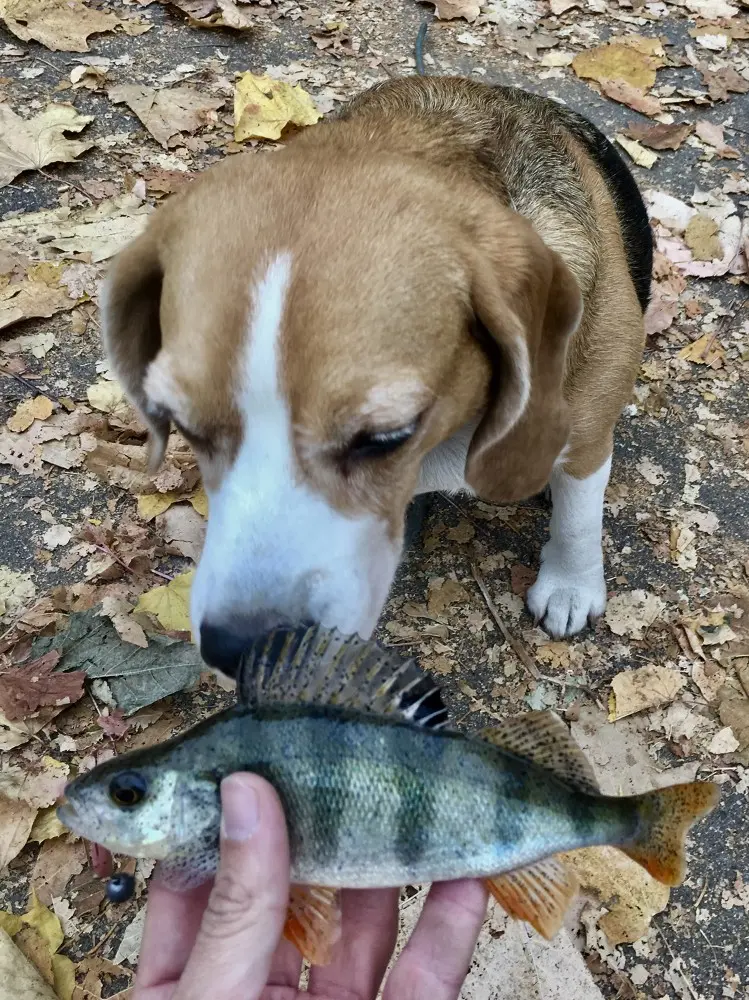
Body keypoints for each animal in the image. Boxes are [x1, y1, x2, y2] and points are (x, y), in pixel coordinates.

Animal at [102, 74, 652, 676]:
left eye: (386, 437)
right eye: (184, 427)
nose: (243, 650)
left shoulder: (587, 439)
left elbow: (578, 520)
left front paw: (570, 587)